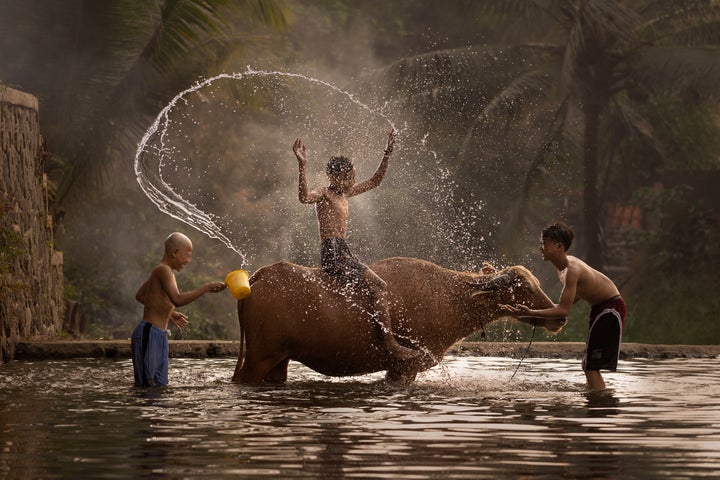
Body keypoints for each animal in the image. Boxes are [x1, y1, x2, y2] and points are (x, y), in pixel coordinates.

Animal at [233, 256, 564, 384]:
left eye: (536, 283)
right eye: (525, 287)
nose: (559, 317)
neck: (450, 299)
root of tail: (257, 277)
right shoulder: (406, 367)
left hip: (280, 360)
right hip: (260, 356)